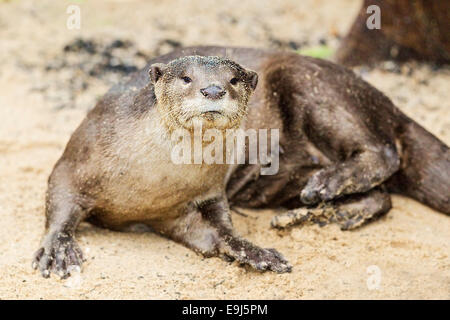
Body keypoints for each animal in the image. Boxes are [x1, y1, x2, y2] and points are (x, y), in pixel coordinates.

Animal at [32, 45, 450, 278]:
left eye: (233, 79)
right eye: (185, 78)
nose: (213, 89)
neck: (151, 183)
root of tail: (389, 104)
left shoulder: (208, 193)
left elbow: (224, 229)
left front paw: (257, 251)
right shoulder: (79, 157)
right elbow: (60, 198)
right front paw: (57, 250)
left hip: (315, 86)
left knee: (384, 152)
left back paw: (324, 189)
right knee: (383, 194)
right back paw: (314, 213)